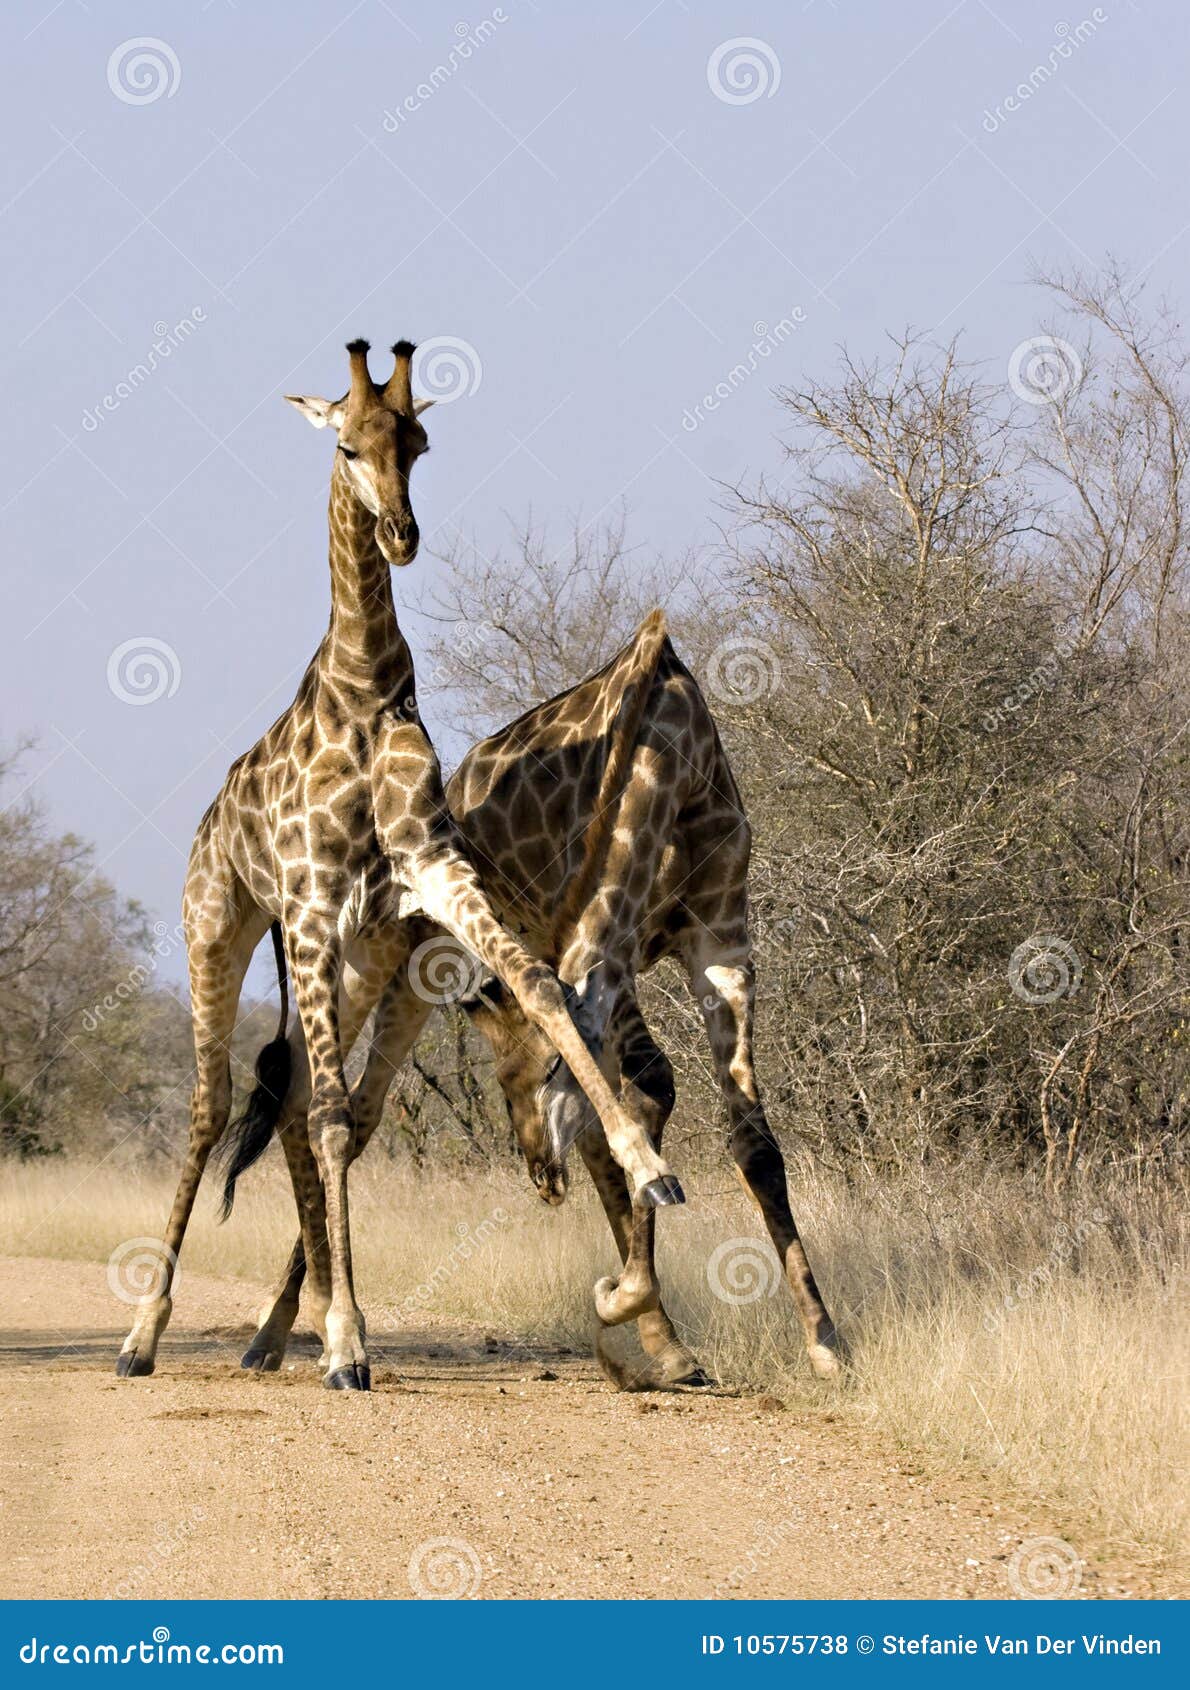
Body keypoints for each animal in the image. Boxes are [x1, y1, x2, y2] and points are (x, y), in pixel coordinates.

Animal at [115, 340, 683, 1392]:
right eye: (345, 444)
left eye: (416, 441)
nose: (401, 533)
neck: (367, 687)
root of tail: (210, 823)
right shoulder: (309, 901)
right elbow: (337, 1118)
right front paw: (347, 1343)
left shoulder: (431, 871)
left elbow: (538, 984)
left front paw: (647, 1162)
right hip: (223, 926)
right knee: (217, 1106)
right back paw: (144, 1337)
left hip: (357, 953)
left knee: (298, 1100)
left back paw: (276, 1332)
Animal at [241, 613, 842, 1387]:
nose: (539, 1175)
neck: (673, 757)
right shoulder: (592, 940)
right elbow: (641, 1096)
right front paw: (624, 1294)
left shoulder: (721, 950)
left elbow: (748, 1140)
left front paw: (824, 1342)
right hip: (390, 957)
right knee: (332, 1103)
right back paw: (281, 1333)